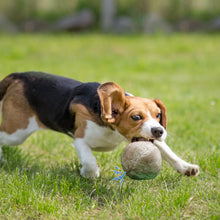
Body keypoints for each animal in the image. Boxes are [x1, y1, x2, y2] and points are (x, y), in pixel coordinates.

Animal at [0, 72, 199, 179]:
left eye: (158, 115)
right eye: (136, 117)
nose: (159, 130)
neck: (113, 130)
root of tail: (18, 76)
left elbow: (168, 152)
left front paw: (186, 167)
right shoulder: (80, 138)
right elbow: (89, 159)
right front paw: (90, 174)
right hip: (17, 132)